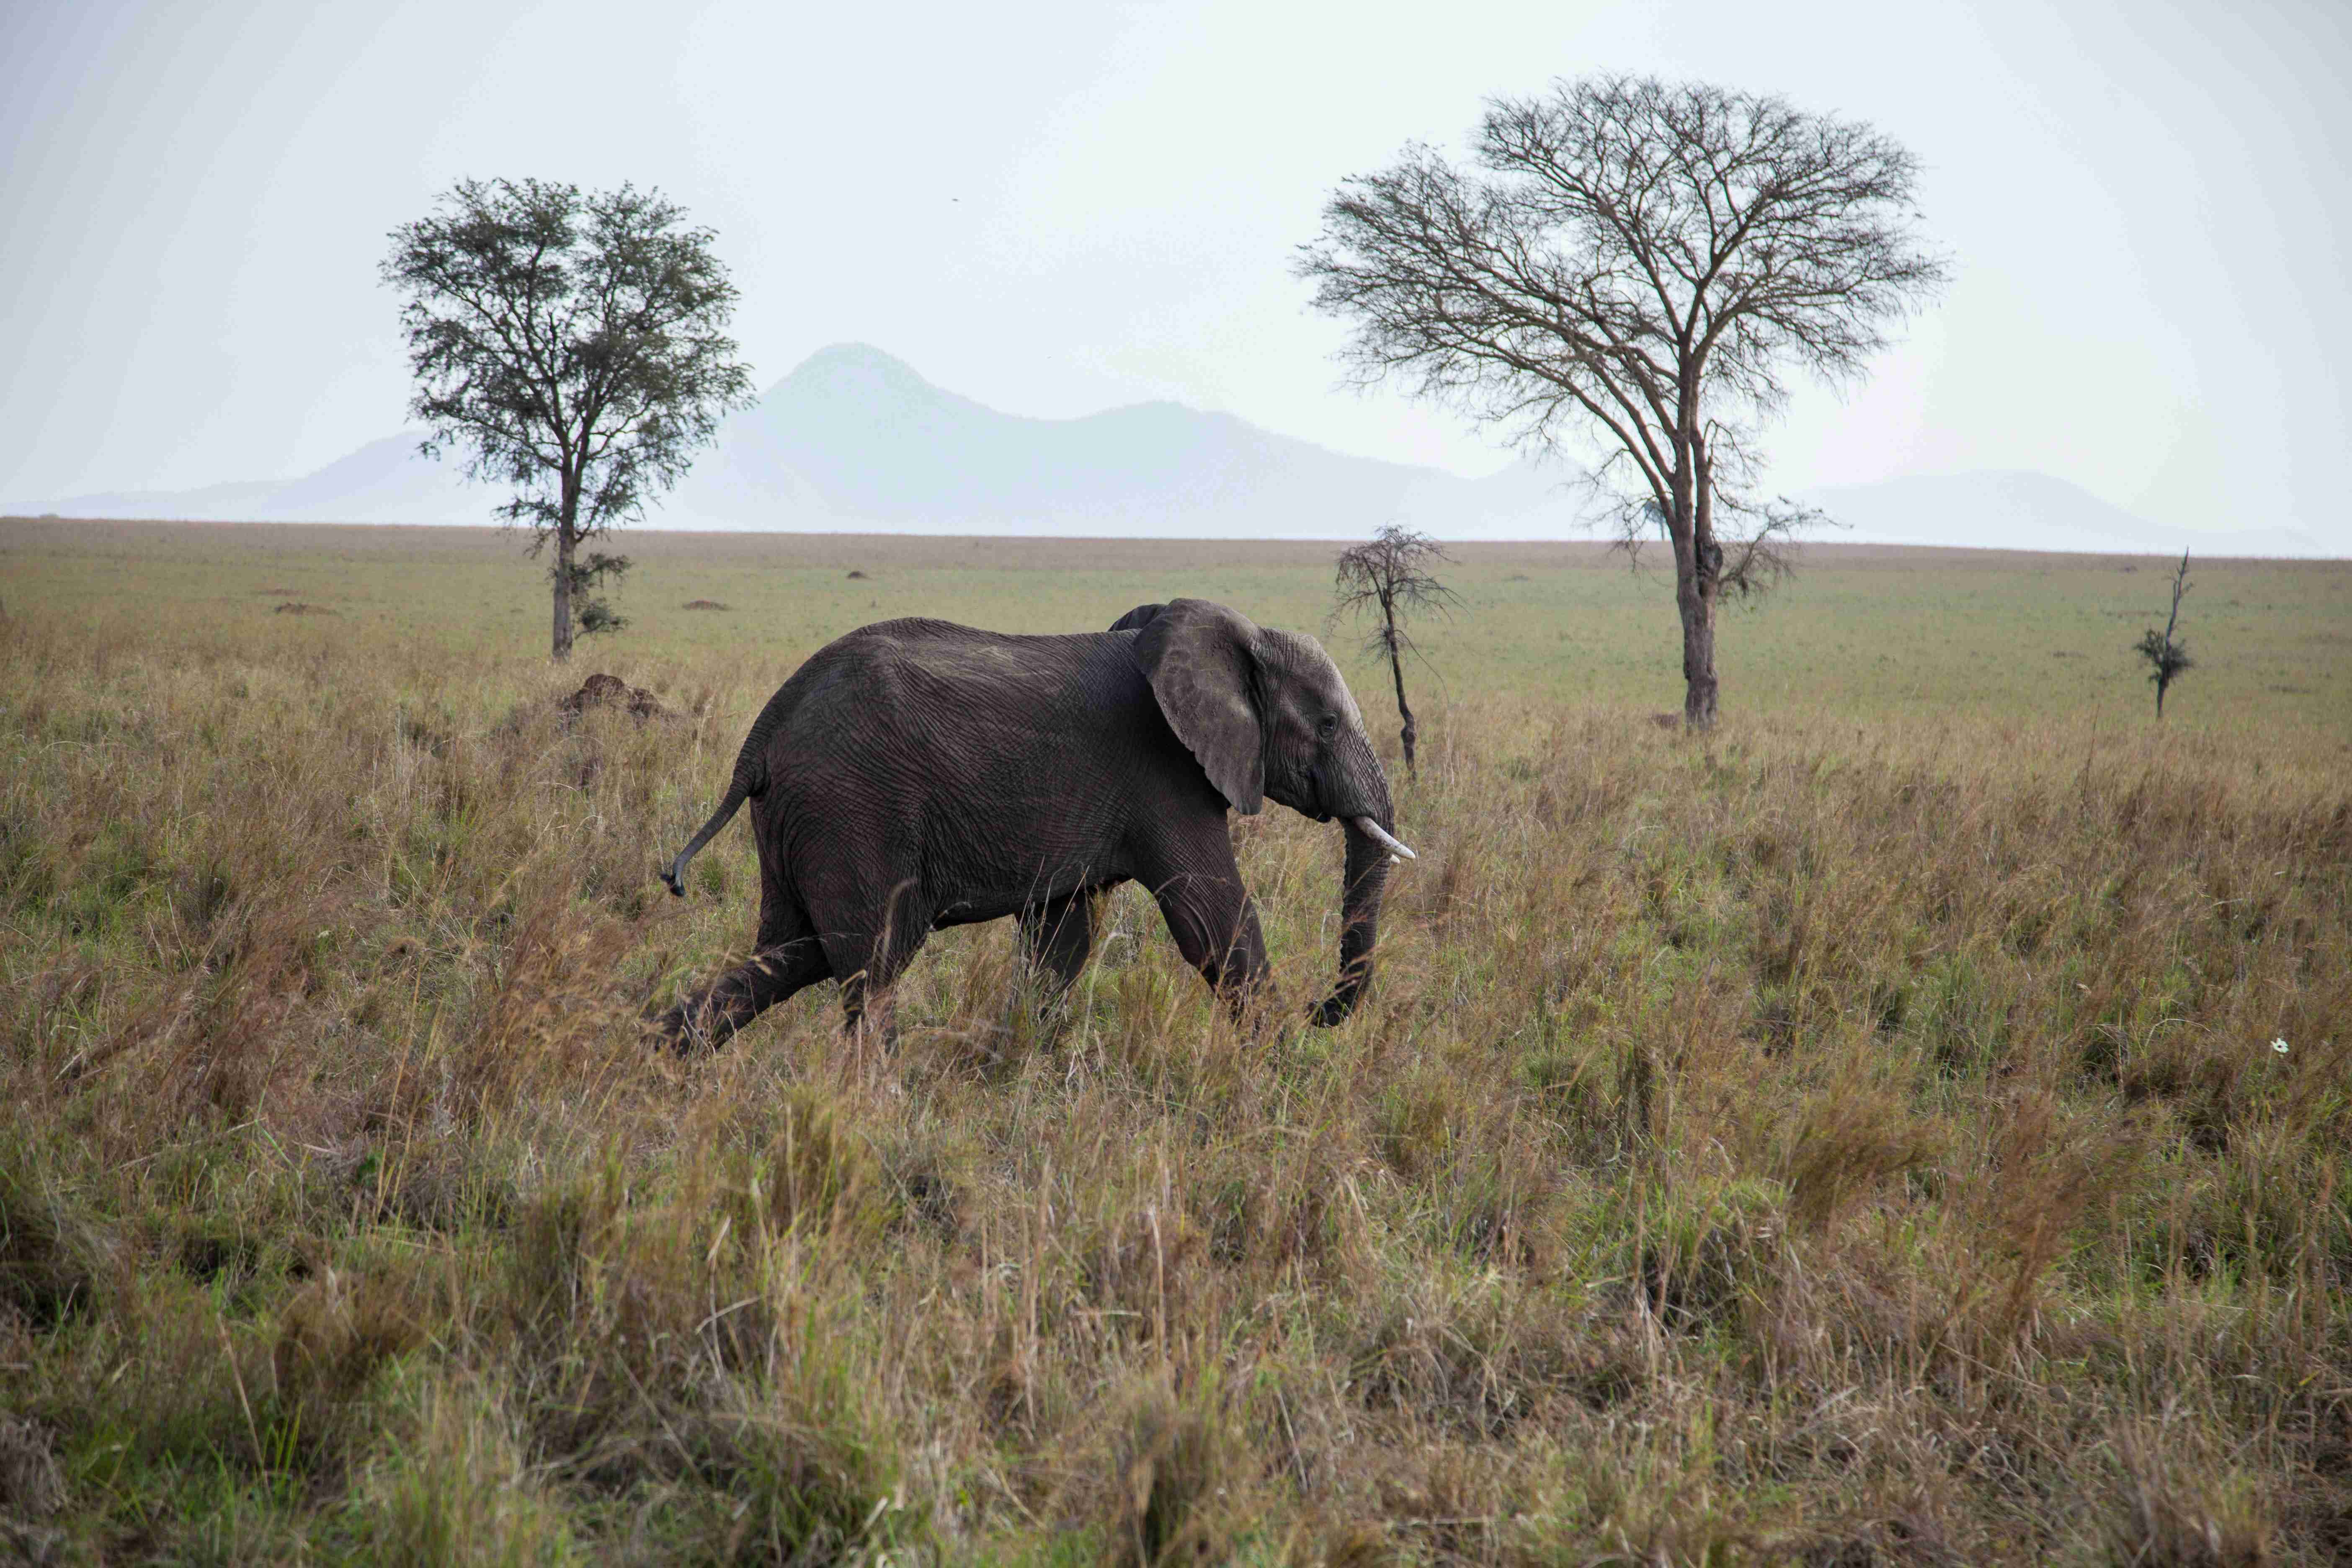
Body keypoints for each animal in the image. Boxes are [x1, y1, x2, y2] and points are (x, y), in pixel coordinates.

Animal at [652, 597, 1415, 1050]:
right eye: (1326, 723)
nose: (1319, 1009)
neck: (1237, 632)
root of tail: (764, 734)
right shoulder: (1165, 774)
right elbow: (1214, 919)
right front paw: (1282, 1068)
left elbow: (1061, 940)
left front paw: (1008, 1063)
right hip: (853, 805)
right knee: (873, 961)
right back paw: (879, 1106)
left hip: (801, 817)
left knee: (792, 952)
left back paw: (658, 1055)